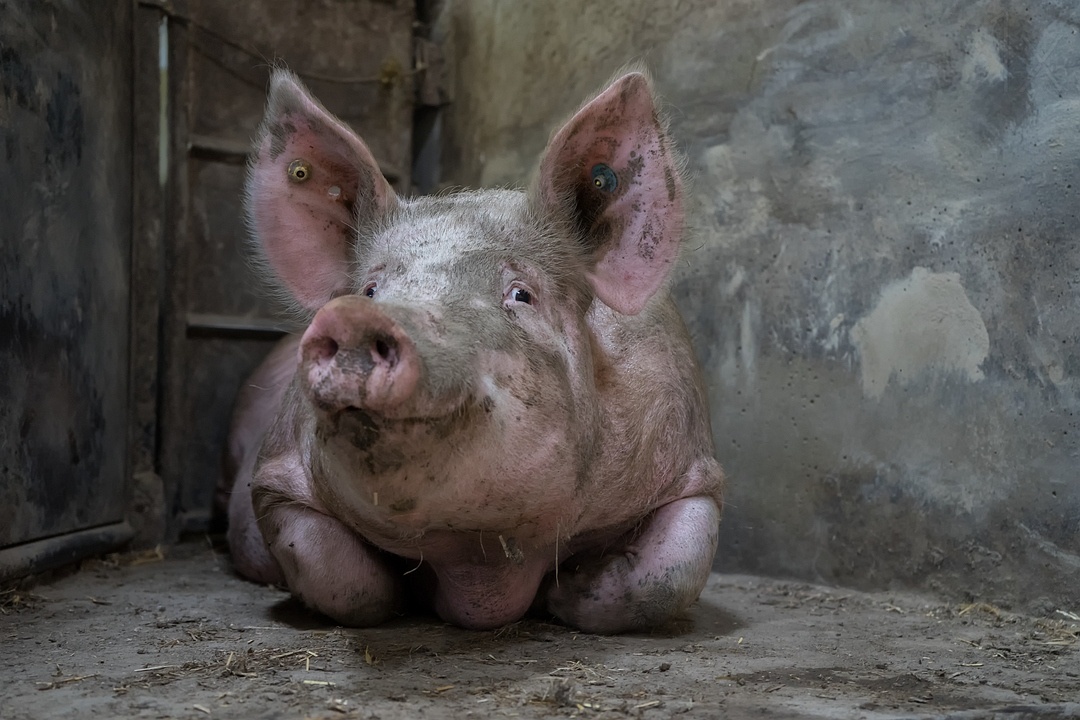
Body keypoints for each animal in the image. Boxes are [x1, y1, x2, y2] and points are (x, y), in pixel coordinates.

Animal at [221, 67, 723, 634]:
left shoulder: (693, 466)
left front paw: (565, 594)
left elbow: (672, 573)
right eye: (370, 289)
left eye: (521, 294)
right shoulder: (275, 476)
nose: (355, 318)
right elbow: (341, 581)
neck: (481, 560)